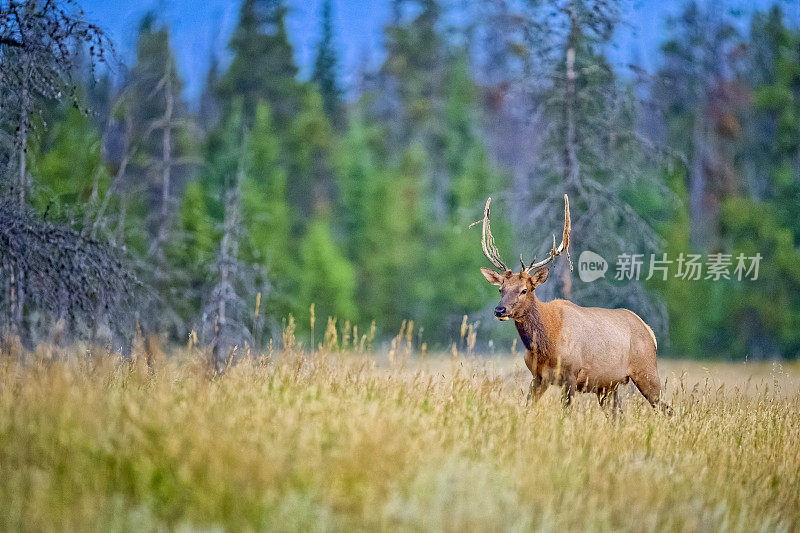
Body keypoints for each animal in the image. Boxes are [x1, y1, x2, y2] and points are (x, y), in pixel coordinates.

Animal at [478, 195, 672, 412]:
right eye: (500, 289)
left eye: (524, 290)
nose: (499, 309)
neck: (547, 344)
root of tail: (650, 332)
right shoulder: (538, 377)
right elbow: (527, 407)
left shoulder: (571, 374)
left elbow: (566, 413)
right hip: (608, 386)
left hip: (647, 371)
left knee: (667, 410)